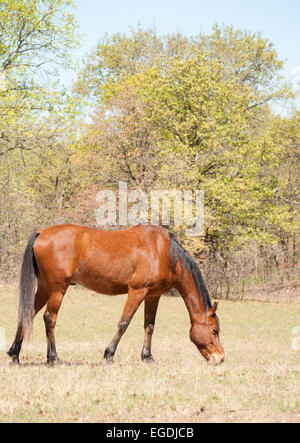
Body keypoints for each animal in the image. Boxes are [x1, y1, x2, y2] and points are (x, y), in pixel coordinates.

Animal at [7, 225, 224, 368]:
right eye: (214, 330)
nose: (221, 358)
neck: (163, 252)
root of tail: (42, 233)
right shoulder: (137, 291)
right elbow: (124, 323)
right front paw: (109, 355)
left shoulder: (153, 296)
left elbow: (149, 326)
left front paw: (148, 357)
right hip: (57, 289)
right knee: (49, 318)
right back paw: (53, 358)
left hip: (45, 288)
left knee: (27, 314)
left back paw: (15, 355)